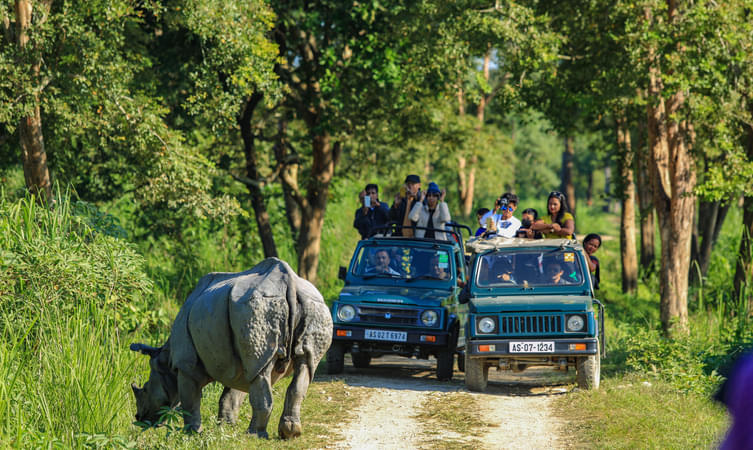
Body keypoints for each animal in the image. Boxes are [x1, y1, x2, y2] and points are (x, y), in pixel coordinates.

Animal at [129, 258, 332, 438]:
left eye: (145, 389)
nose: (139, 418)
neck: (166, 359)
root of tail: (290, 281)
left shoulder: (186, 365)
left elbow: (190, 401)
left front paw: (192, 434)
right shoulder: (240, 363)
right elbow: (233, 395)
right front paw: (226, 428)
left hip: (256, 309)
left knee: (262, 373)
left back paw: (254, 435)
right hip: (312, 307)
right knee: (304, 365)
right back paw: (290, 433)